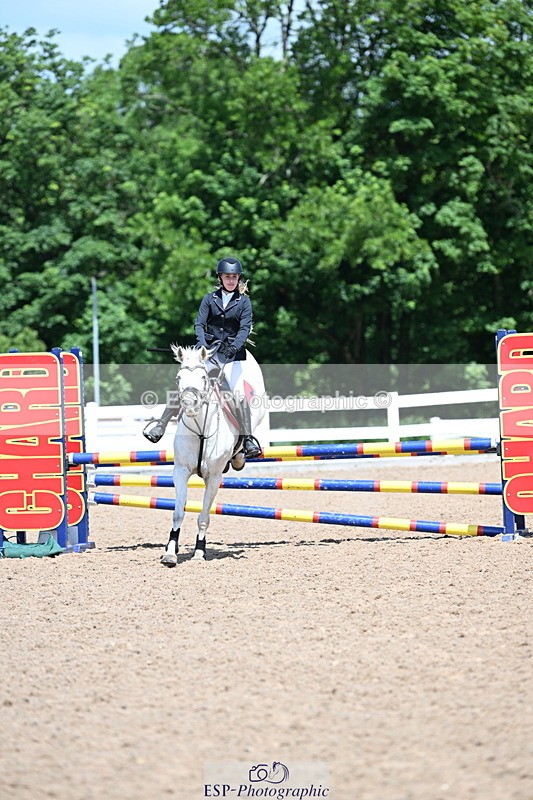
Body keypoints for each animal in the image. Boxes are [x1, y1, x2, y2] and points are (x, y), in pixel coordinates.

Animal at [161, 344, 265, 565]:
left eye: (203, 377)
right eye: (178, 378)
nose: (189, 405)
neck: (200, 428)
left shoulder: (214, 477)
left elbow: (203, 517)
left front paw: (199, 552)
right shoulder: (180, 472)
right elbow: (178, 513)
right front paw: (170, 552)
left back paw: (244, 452)